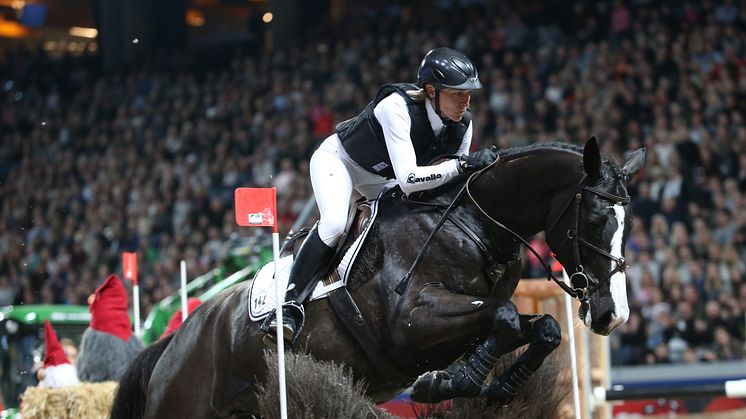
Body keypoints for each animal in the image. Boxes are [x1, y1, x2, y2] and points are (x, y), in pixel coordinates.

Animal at [109, 138, 640, 416]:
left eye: (628, 225)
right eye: (595, 219)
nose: (613, 315)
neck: (477, 224)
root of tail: (179, 337)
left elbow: (541, 328)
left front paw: (493, 388)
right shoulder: (411, 324)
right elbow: (506, 316)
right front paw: (447, 383)